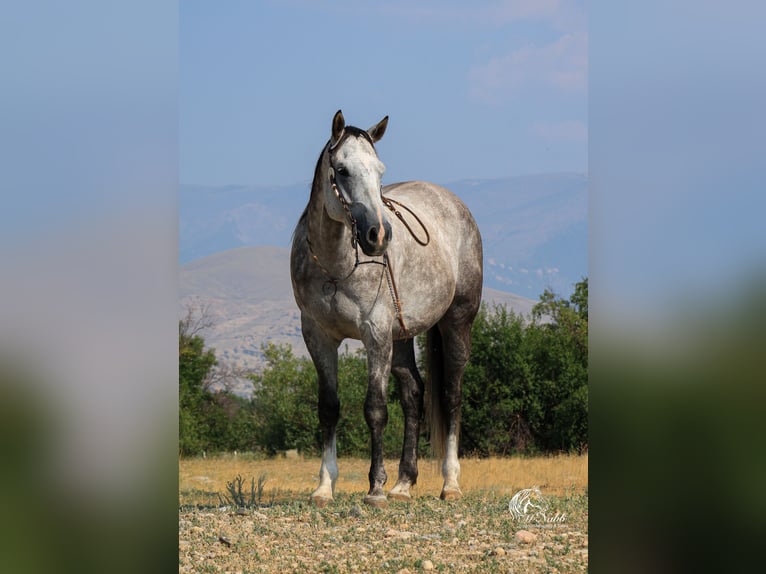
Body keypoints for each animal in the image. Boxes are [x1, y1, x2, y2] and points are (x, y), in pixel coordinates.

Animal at [292, 110, 484, 506]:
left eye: (380, 171)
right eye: (342, 170)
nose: (378, 235)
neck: (335, 265)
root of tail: (453, 203)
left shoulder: (375, 334)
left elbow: (375, 409)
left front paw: (375, 488)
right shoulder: (317, 336)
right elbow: (328, 408)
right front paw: (324, 487)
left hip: (456, 322)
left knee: (451, 395)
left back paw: (449, 484)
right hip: (402, 334)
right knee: (413, 393)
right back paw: (403, 483)